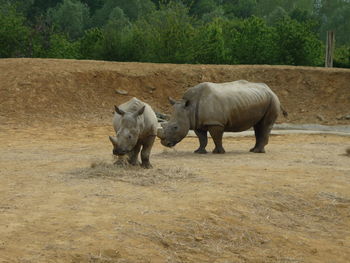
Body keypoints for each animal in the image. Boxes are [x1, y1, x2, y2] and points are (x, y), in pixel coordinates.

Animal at [158, 81, 288, 154]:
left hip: (272, 101)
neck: (189, 108)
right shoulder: (196, 122)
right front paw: (199, 152)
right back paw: (252, 150)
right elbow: (202, 138)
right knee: (258, 126)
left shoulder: (215, 122)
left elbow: (216, 138)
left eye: (175, 127)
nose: (164, 143)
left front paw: (218, 152)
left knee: (265, 125)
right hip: (262, 99)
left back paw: (257, 152)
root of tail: (271, 90)